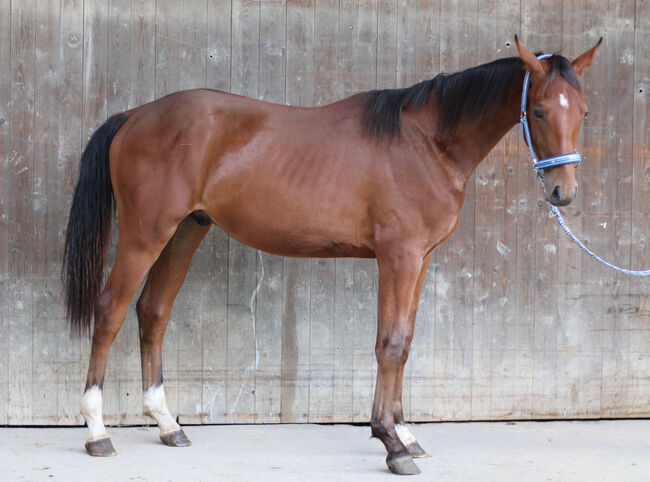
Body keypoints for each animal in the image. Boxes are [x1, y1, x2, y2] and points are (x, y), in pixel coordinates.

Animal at [63, 36, 600, 474]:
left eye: (584, 111)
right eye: (539, 112)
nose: (563, 192)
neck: (428, 143)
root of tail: (135, 115)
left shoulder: (421, 260)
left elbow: (406, 343)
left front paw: (406, 433)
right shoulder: (399, 257)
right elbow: (389, 344)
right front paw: (391, 444)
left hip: (184, 232)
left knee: (152, 312)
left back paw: (168, 425)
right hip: (144, 235)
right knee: (109, 312)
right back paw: (97, 432)